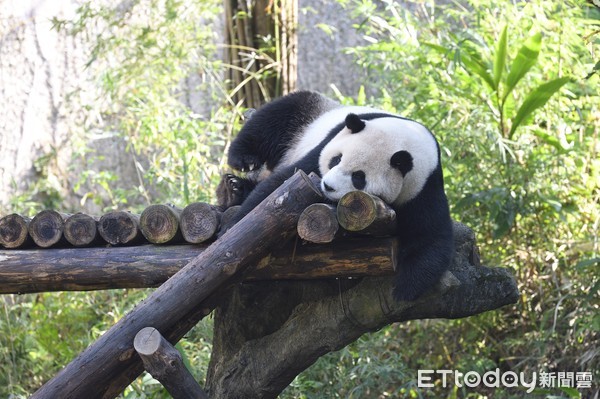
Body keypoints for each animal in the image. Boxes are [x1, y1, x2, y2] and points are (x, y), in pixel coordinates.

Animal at [218, 90, 452, 302]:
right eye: (336, 159)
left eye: (359, 177)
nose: (327, 186)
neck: (406, 139)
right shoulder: (325, 145)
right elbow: (283, 182)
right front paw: (234, 229)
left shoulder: (423, 185)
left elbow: (430, 235)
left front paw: (404, 289)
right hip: (310, 115)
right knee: (276, 118)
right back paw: (241, 171)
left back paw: (235, 188)